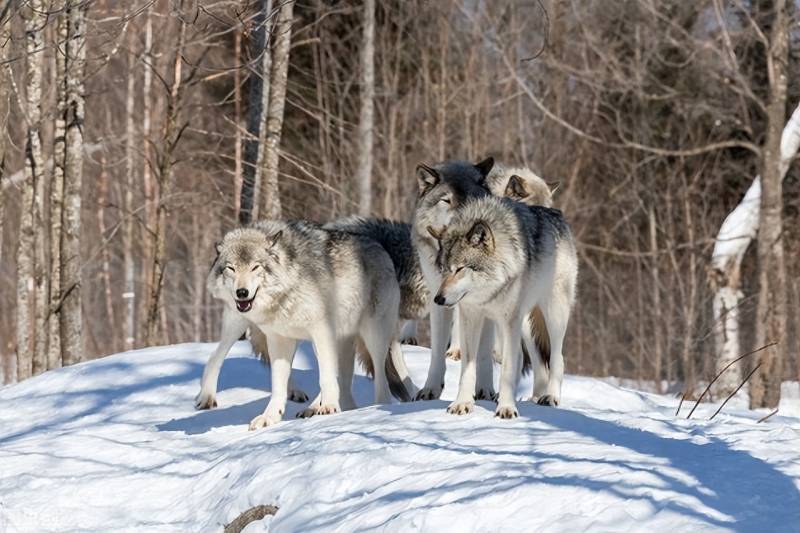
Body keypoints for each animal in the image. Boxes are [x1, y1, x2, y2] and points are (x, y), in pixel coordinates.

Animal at [200, 220, 406, 428]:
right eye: (231, 268)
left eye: (255, 267)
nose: (241, 292)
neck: (288, 286)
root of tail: (380, 246)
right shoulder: (279, 339)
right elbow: (278, 385)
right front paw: (270, 417)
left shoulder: (321, 331)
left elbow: (326, 378)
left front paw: (329, 407)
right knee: (216, 356)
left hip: (373, 336)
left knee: (380, 381)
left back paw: (373, 406)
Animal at [428, 193, 580, 418]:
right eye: (444, 269)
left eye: (460, 269)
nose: (438, 299)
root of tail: (557, 214)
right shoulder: (471, 317)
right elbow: (468, 368)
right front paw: (462, 404)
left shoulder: (509, 321)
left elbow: (507, 368)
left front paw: (506, 409)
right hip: (524, 324)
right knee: (530, 361)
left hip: (553, 315)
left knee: (557, 358)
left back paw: (550, 397)